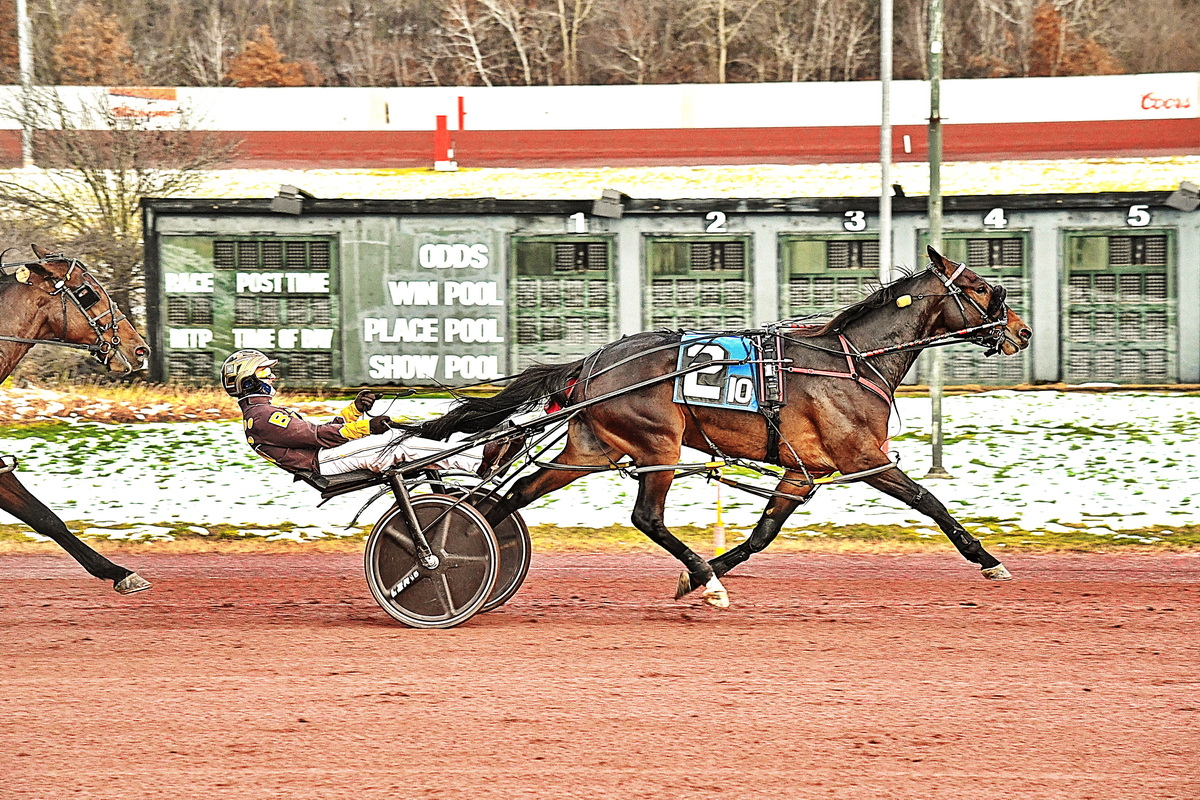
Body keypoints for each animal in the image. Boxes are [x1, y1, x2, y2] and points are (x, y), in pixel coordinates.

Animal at [410, 245, 1032, 606]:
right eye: (980, 287)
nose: (1021, 330)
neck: (849, 360)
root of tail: (591, 364)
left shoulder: (802, 472)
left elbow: (762, 534)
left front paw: (708, 571)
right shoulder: (863, 457)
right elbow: (930, 502)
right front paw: (988, 560)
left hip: (590, 449)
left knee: (509, 497)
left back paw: (451, 552)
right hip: (657, 445)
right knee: (645, 517)